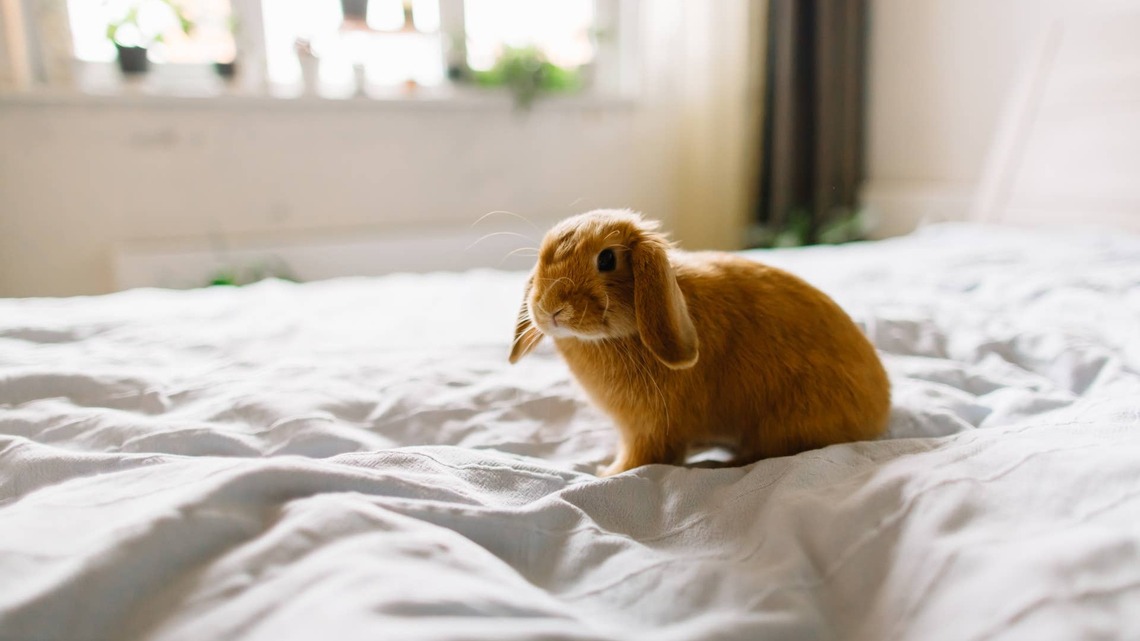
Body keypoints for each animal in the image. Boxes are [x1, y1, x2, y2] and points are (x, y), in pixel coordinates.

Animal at [509, 209, 891, 476]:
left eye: (607, 259)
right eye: (542, 256)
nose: (551, 309)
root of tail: (878, 410)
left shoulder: (649, 430)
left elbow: (642, 459)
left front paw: (606, 473)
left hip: (784, 424)